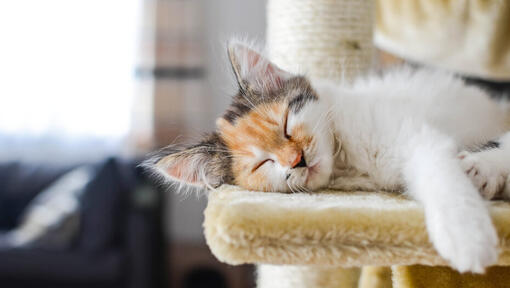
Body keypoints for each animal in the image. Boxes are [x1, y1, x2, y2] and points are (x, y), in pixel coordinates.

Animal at [144, 41, 510, 274]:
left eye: (286, 125)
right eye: (263, 163)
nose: (297, 159)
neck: (345, 158)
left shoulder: (417, 136)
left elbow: (440, 176)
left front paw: (467, 238)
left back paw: (482, 170)